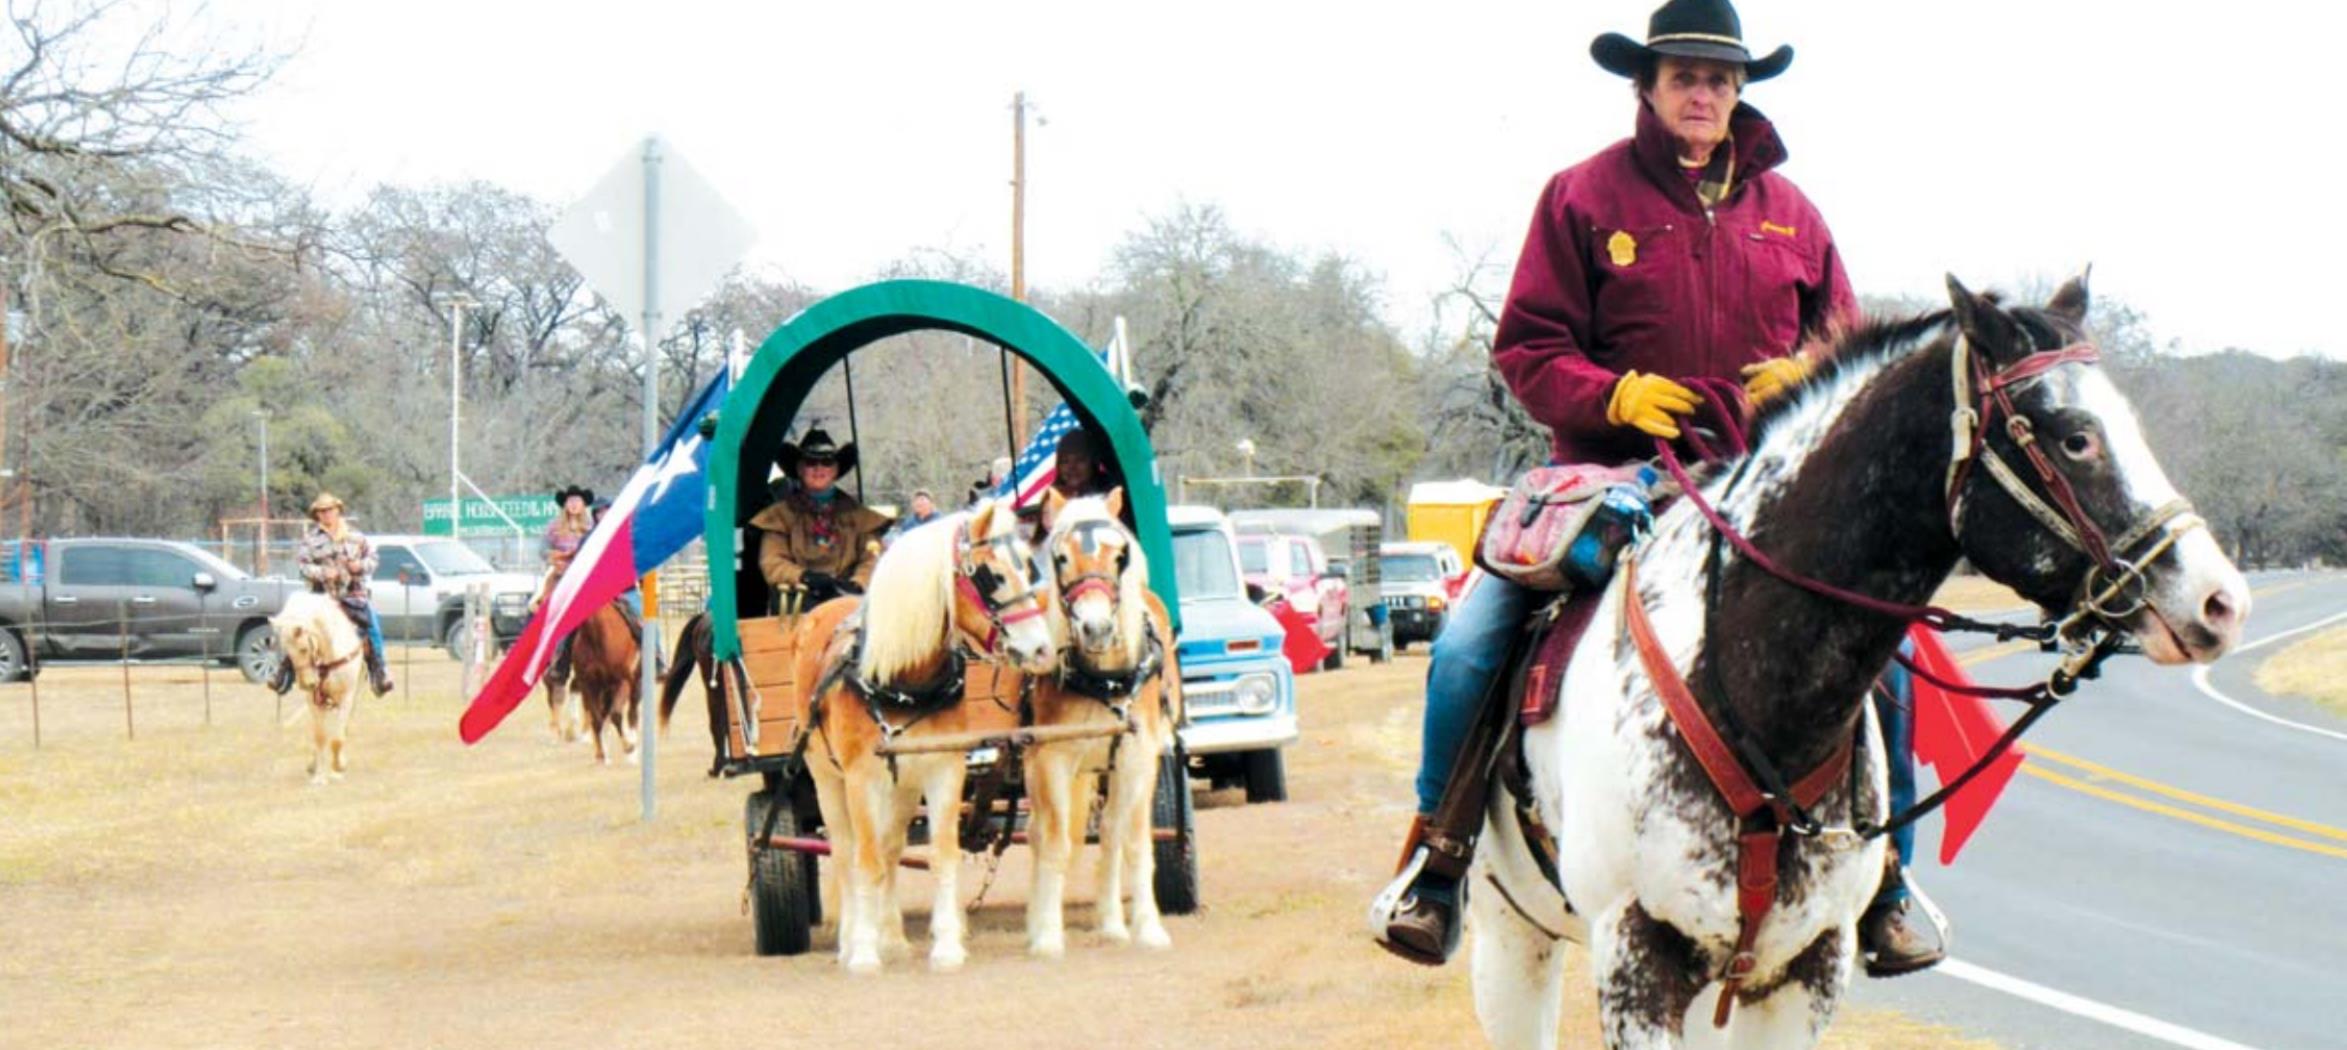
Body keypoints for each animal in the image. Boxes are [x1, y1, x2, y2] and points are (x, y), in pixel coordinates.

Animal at [271, 596, 366, 784]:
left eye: (303, 649)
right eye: (287, 653)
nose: (307, 684)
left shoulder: (346, 697)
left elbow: (337, 738)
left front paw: (337, 769)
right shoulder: (314, 700)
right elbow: (320, 736)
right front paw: (319, 777)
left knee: (343, 729)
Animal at [807, 497, 1065, 972]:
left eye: (1028, 566)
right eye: (993, 576)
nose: (1041, 650)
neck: (900, 681)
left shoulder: (942, 769)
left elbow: (940, 854)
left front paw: (945, 945)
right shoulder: (860, 780)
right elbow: (864, 859)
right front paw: (864, 952)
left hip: (904, 787)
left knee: (890, 847)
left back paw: (891, 936)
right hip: (826, 778)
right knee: (846, 850)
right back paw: (852, 938)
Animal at [1027, 488, 1182, 958]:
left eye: (1120, 555)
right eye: (1060, 557)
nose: (1095, 627)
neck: (1105, 677)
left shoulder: (1138, 757)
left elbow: (1133, 838)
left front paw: (1148, 928)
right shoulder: (1053, 759)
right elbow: (1055, 840)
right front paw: (1047, 934)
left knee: (1112, 831)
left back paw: (1113, 923)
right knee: (1038, 832)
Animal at [1464, 274, 2253, 1047]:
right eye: (2075, 437)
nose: (2222, 601)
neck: (1754, 696)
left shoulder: (1806, 968)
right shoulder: (1636, 960)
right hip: (1508, 936)